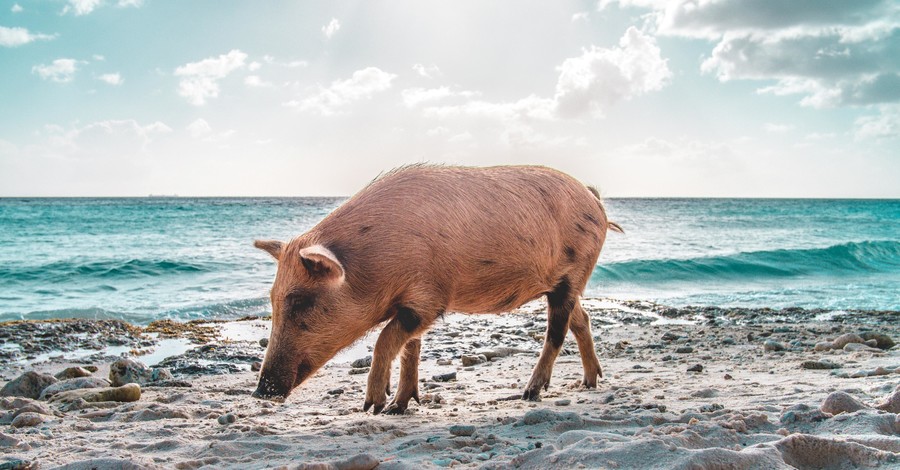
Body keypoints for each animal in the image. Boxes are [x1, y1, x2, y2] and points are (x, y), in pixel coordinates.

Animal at [251, 163, 620, 414]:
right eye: (273, 300)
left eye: (300, 301)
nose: (261, 392)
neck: (373, 265)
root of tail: (593, 197)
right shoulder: (412, 304)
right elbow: (409, 347)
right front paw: (396, 408)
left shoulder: (429, 298)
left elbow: (386, 338)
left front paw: (372, 405)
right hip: (565, 284)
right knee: (581, 320)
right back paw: (590, 382)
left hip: (573, 272)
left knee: (556, 331)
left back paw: (531, 393)